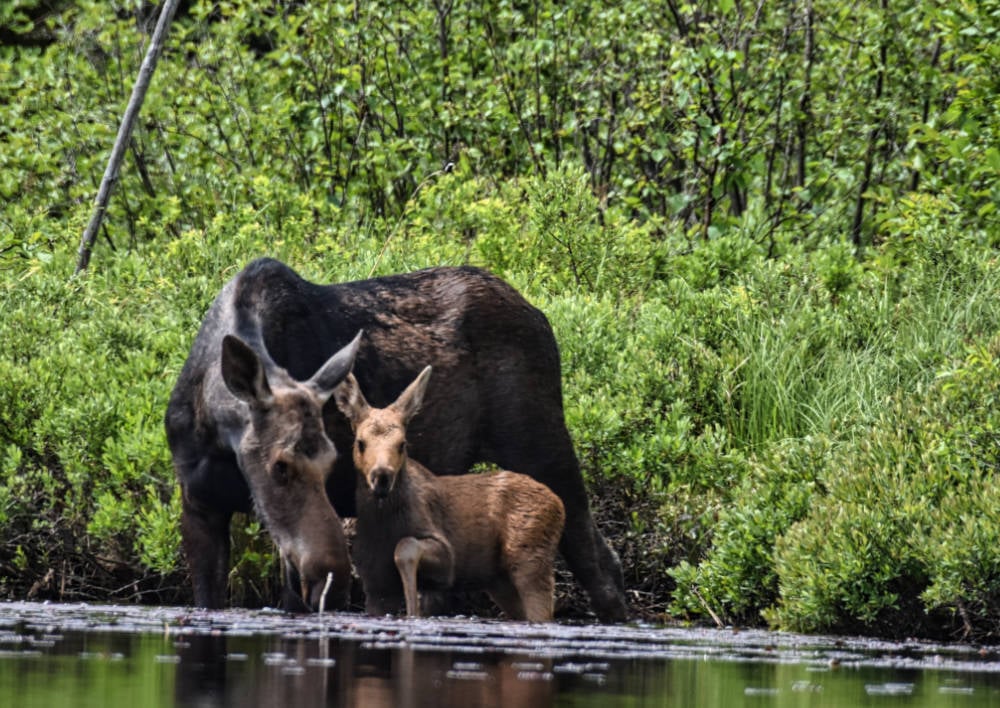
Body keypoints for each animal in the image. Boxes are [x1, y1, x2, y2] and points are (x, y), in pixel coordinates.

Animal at [333, 366, 566, 622]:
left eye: (402, 443)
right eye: (360, 442)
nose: (382, 477)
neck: (384, 525)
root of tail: (558, 503)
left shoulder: (447, 561)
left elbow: (405, 546)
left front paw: (413, 611)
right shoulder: (375, 584)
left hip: (530, 560)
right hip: (500, 582)